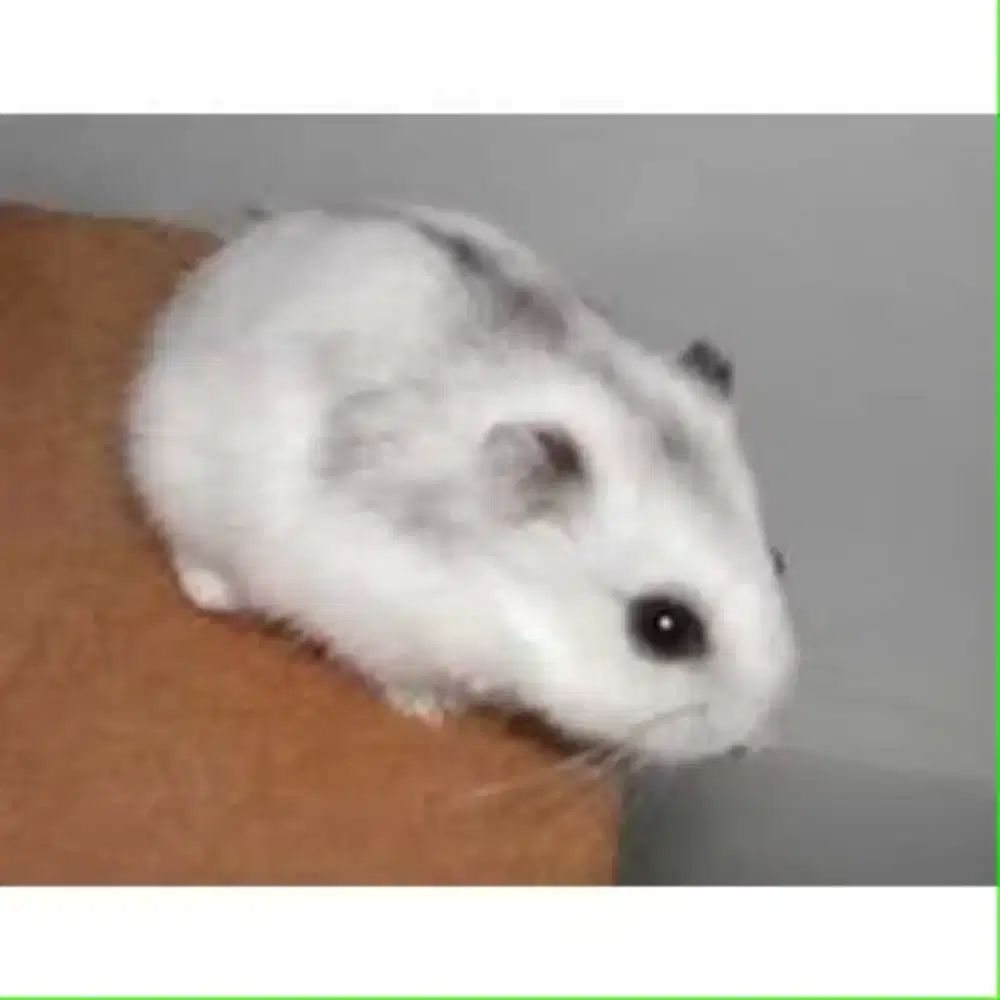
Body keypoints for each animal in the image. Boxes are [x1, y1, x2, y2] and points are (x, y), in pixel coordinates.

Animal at [124, 205, 796, 765]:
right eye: (664, 627)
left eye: (778, 559)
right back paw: (218, 593)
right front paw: (435, 712)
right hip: (176, 478)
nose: (752, 742)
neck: (500, 593)